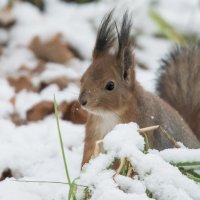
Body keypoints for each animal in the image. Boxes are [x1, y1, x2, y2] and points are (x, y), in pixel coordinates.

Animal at [78, 10, 200, 167]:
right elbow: (89, 156)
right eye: (82, 78)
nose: (82, 101)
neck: (108, 115)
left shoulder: (142, 128)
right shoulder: (94, 135)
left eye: (110, 85)